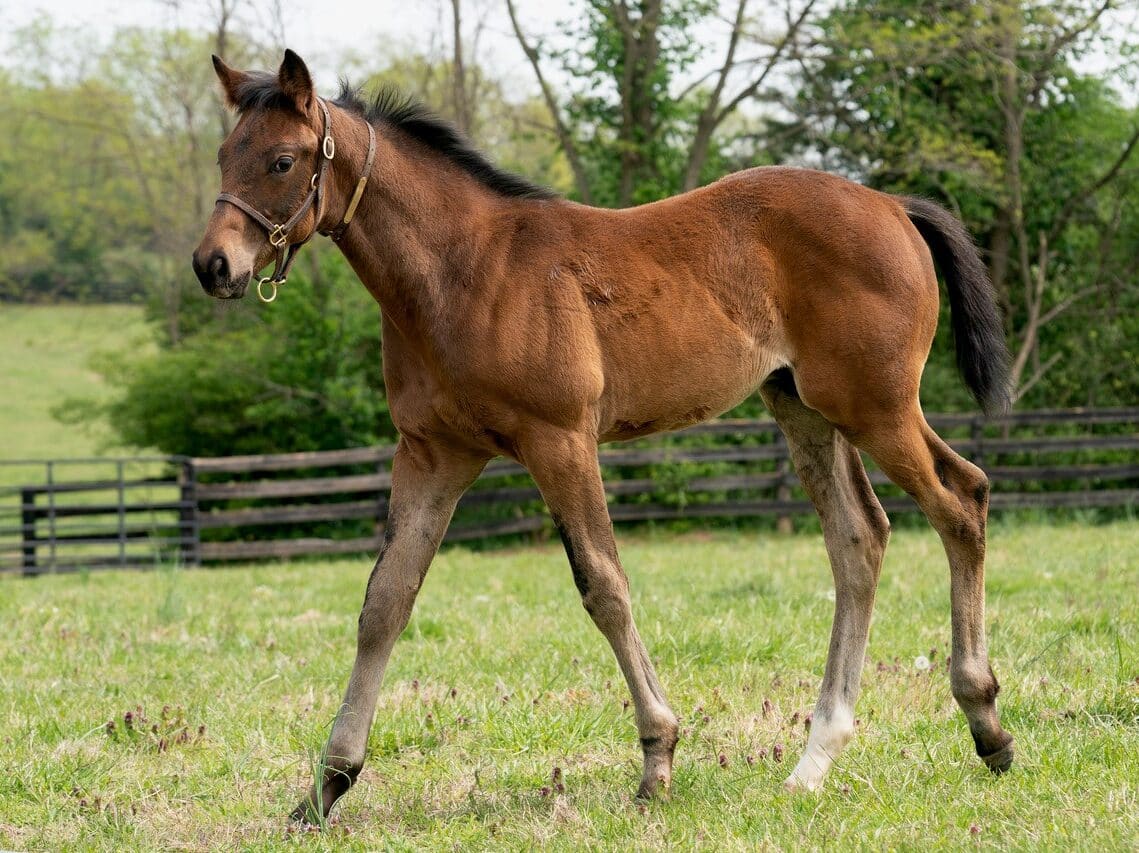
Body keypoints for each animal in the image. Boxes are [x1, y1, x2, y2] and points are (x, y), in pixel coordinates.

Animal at [193, 51, 1015, 819]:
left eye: (282, 160)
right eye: (223, 154)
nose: (213, 265)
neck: (465, 270)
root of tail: (892, 205)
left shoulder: (558, 441)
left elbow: (604, 587)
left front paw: (658, 759)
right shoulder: (434, 453)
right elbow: (385, 601)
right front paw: (327, 785)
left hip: (876, 405)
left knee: (961, 499)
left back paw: (986, 724)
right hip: (806, 408)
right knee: (859, 538)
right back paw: (816, 758)